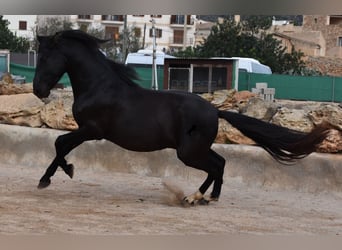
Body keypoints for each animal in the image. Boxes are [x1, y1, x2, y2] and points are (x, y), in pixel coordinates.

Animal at [34, 29, 328, 205]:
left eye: (45, 58)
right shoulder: (88, 130)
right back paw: (204, 197)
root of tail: (215, 110)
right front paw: (59, 172)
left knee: (215, 166)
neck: (98, 86)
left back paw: (196, 197)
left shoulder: (92, 130)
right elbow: (61, 145)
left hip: (188, 152)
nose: (38, 90)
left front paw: (51, 177)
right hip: (196, 148)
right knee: (220, 163)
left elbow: (60, 143)